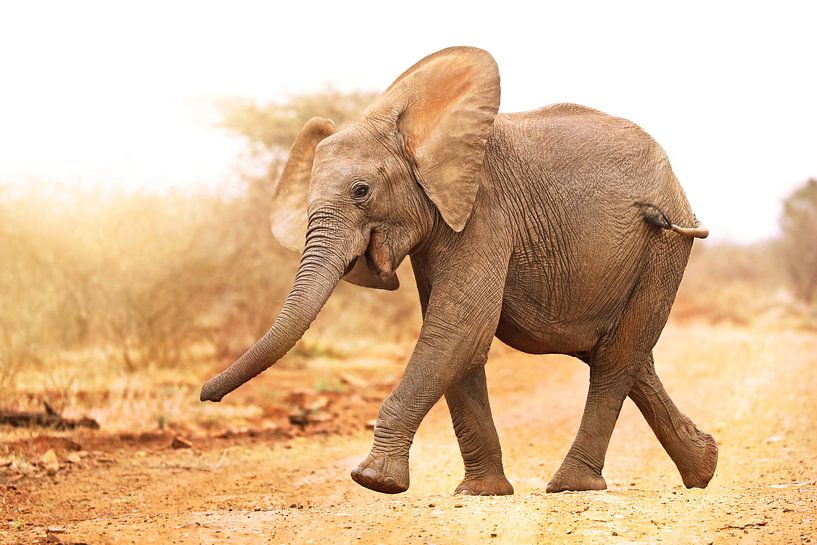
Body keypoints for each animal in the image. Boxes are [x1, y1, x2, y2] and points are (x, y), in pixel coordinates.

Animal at [201, 46, 718, 496]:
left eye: (361, 191)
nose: (207, 395)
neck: (408, 129)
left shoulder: (483, 210)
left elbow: (459, 326)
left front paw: (374, 481)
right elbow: (457, 337)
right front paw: (481, 493)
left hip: (664, 246)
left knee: (615, 359)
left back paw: (572, 486)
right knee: (621, 354)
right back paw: (704, 467)